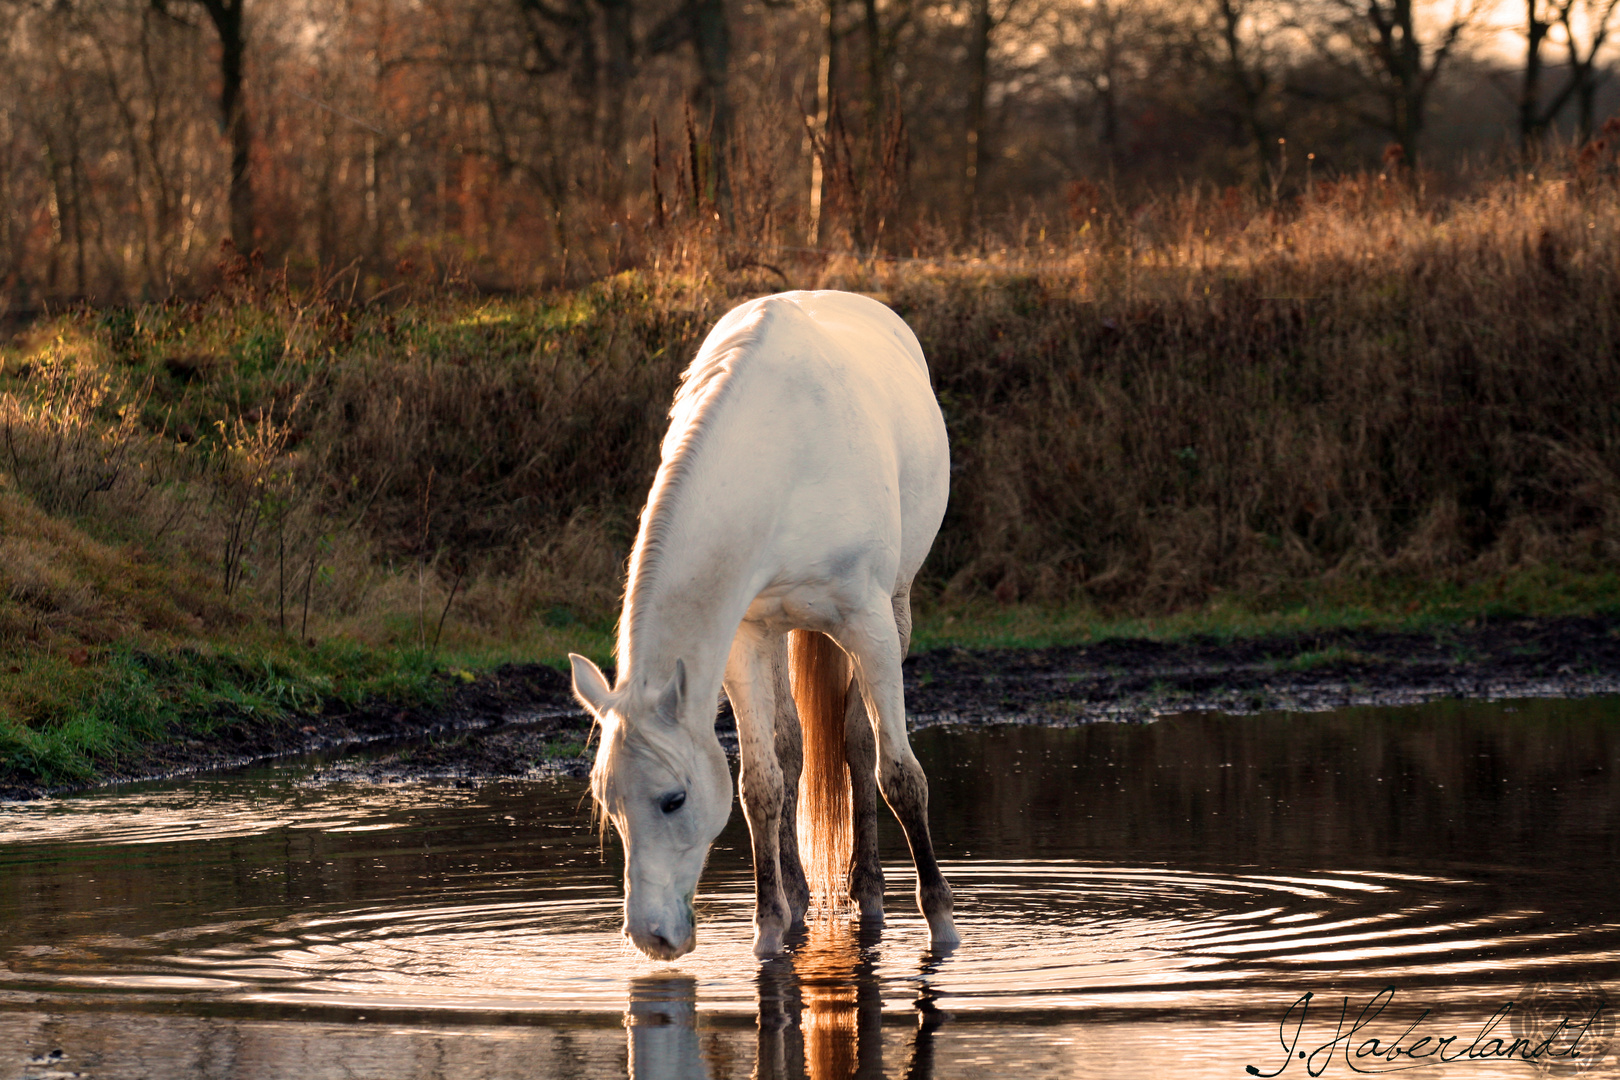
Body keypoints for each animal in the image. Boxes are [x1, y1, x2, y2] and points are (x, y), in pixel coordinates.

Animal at [567, 289, 952, 965]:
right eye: (609, 806)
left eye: (673, 800)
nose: (650, 937)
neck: (779, 455)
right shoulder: (744, 638)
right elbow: (761, 783)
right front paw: (769, 928)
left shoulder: (871, 623)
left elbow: (901, 776)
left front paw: (943, 925)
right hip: (780, 632)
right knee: (793, 748)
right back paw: (800, 898)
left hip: (893, 609)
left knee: (859, 745)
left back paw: (870, 896)